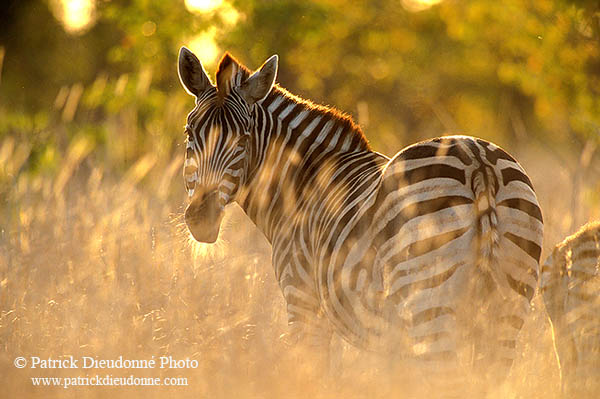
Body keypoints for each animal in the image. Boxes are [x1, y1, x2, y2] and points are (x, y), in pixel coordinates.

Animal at [177, 47, 544, 394]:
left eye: (244, 139)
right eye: (190, 133)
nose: (202, 218)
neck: (304, 183)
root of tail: (478, 161)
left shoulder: (303, 302)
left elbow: (313, 378)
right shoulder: (389, 340)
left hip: (428, 302)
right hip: (506, 311)